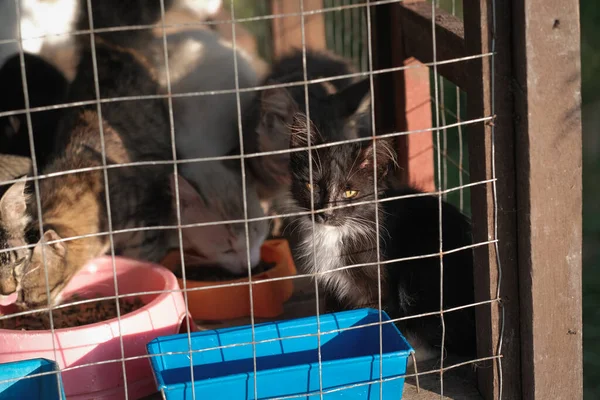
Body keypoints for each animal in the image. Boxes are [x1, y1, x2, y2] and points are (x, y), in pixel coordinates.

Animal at [250, 49, 478, 360]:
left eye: (349, 192)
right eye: (312, 186)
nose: (325, 213)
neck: (339, 233)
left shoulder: (380, 280)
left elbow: (380, 318)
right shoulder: (332, 286)